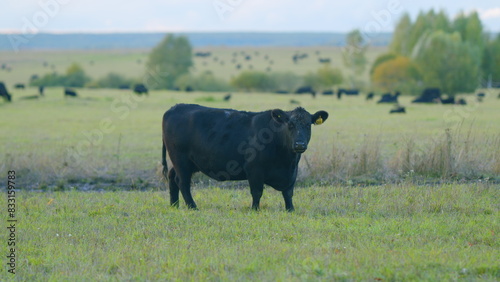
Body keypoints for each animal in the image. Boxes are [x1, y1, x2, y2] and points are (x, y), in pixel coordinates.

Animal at [162, 104, 330, 210]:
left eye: (308, 125)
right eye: (290, 125)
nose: (299, 144)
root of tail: (174, 107)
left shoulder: (292, 172)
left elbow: (288, 193)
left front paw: (291, 209)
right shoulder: (254, 169)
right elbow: (257, 191)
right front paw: (255, 209)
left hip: (184, 163)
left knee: (172, 177)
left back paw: (174, 205)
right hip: (181, 161)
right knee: (182, 182)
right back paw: (192, 207)